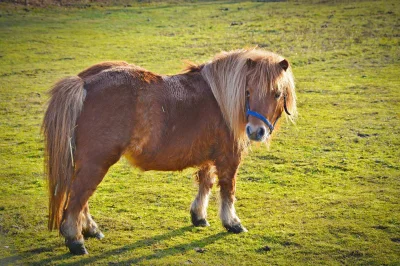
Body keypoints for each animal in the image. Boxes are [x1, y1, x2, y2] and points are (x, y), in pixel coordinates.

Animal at [42, 48, 296, 256]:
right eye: (248, 92)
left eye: (276, 93)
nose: (256, 131)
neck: (222, 101)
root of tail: (83, 83)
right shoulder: (229, 157)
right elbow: (227, 189)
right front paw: (232, 223)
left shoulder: (208, 156)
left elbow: (206, 182)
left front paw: (199, 216)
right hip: (96, 162)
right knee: (78, 197)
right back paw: (76, 240)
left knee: (80, 197)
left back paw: (91, 230)